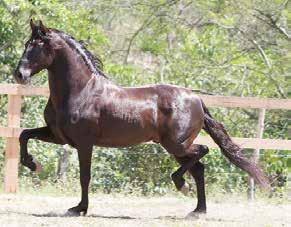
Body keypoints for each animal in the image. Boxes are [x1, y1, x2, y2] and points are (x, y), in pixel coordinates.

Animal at [13, 19, 270, 216]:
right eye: (26, 44)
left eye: (37, 46)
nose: (19, 75)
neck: (81, 91)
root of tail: (196, 99)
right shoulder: (58, 136)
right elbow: (24, 135)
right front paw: (32, 164)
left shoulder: (84, 143)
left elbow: (85, 176)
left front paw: (79, 208)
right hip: (176, 148)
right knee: (199, 169)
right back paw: (197, 210)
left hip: (176, 144)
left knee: (201, 153)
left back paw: (181, 184)